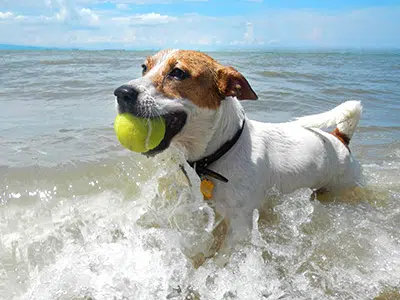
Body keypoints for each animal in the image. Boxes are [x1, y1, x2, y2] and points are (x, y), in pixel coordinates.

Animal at [114, 49, 364, 232]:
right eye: (144, 67)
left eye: (177, 73)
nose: (121, 92)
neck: (223, 149)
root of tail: (340, 138)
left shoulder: (239, 225)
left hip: (341, 188)